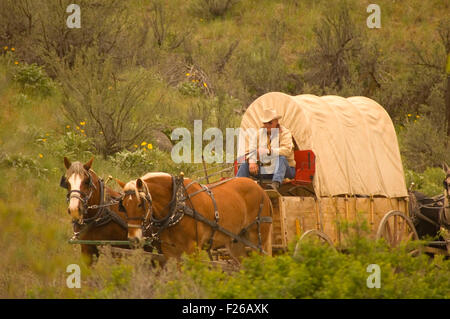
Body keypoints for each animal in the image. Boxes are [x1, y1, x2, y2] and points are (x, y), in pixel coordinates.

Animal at [114, 174, 272, 264]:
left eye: (140, 204)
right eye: (124, 207)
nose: (133, 239)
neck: (178, 206)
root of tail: (261, 190)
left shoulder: (192, 250)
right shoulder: (170, 252)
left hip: (257, 241)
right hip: (236, 242)